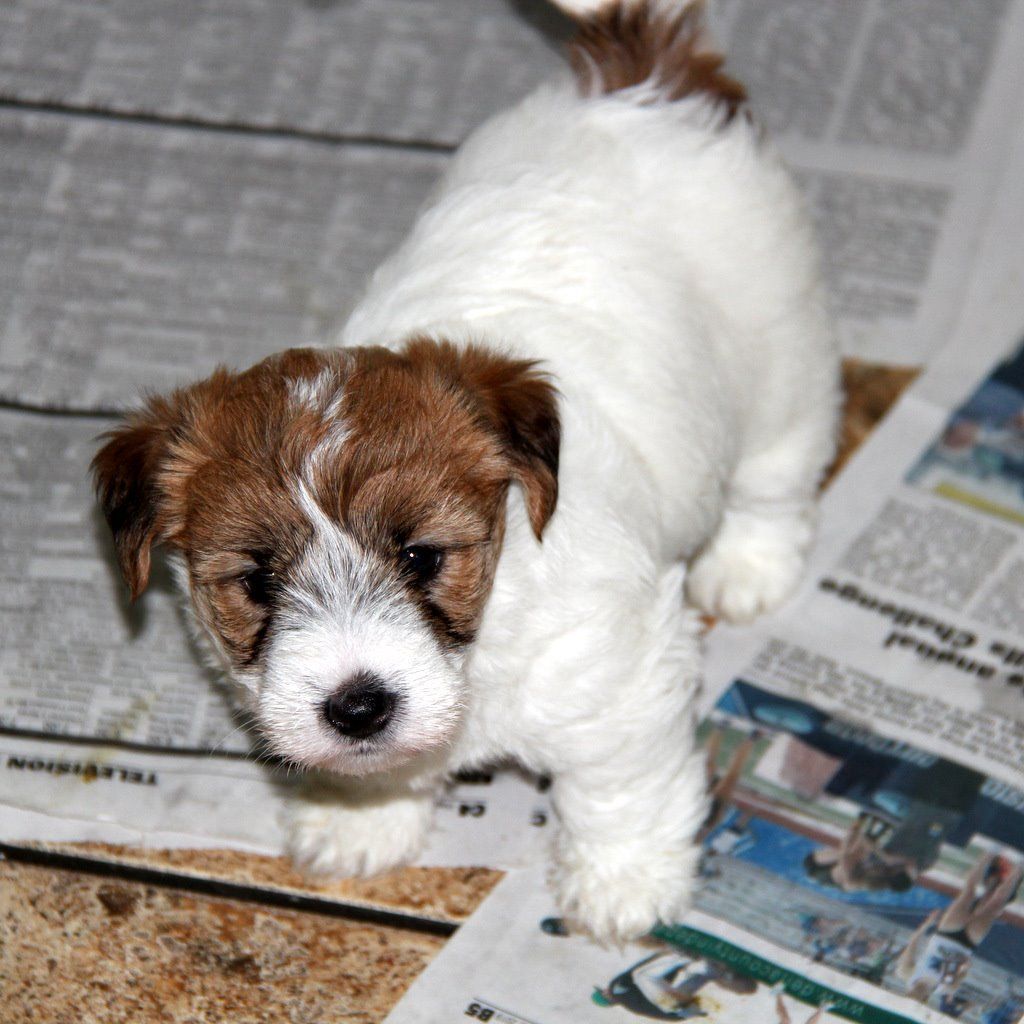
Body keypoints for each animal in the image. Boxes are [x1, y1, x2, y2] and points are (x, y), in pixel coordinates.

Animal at [92, 0, 839, 942]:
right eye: (256, 582)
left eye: (423, 558)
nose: (359, 706)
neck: (488, 628)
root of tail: (639, 72)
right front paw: (361, 819)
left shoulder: (623, 681)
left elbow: (621, 787)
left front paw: (624, 881)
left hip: (782, 354)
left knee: (778, 467)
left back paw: (748, 562)